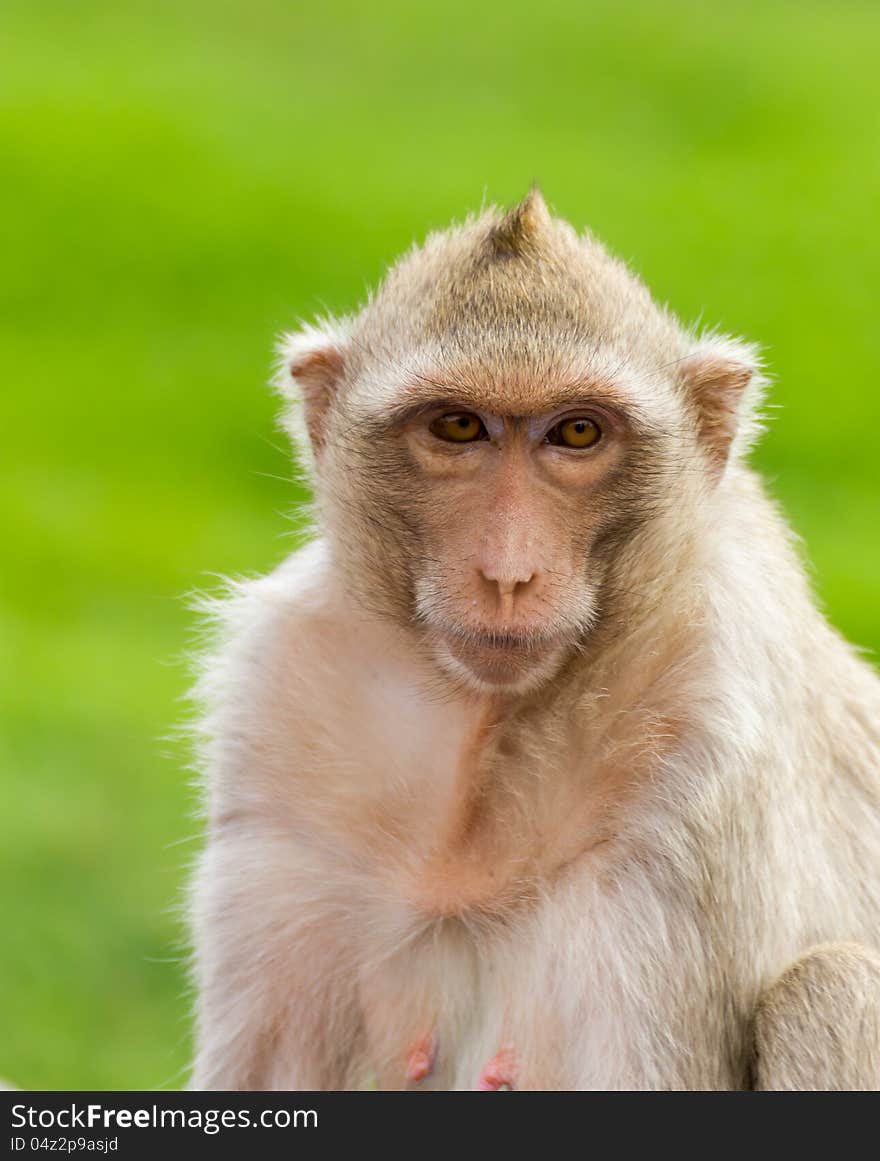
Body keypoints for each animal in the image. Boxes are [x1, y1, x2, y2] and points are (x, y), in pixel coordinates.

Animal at [189, 190, 880, 1086]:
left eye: (578, 433)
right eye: (457, 426)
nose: (509, 572)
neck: (493, 724)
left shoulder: (701, 756)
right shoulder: (282, 703)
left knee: (831, 984)